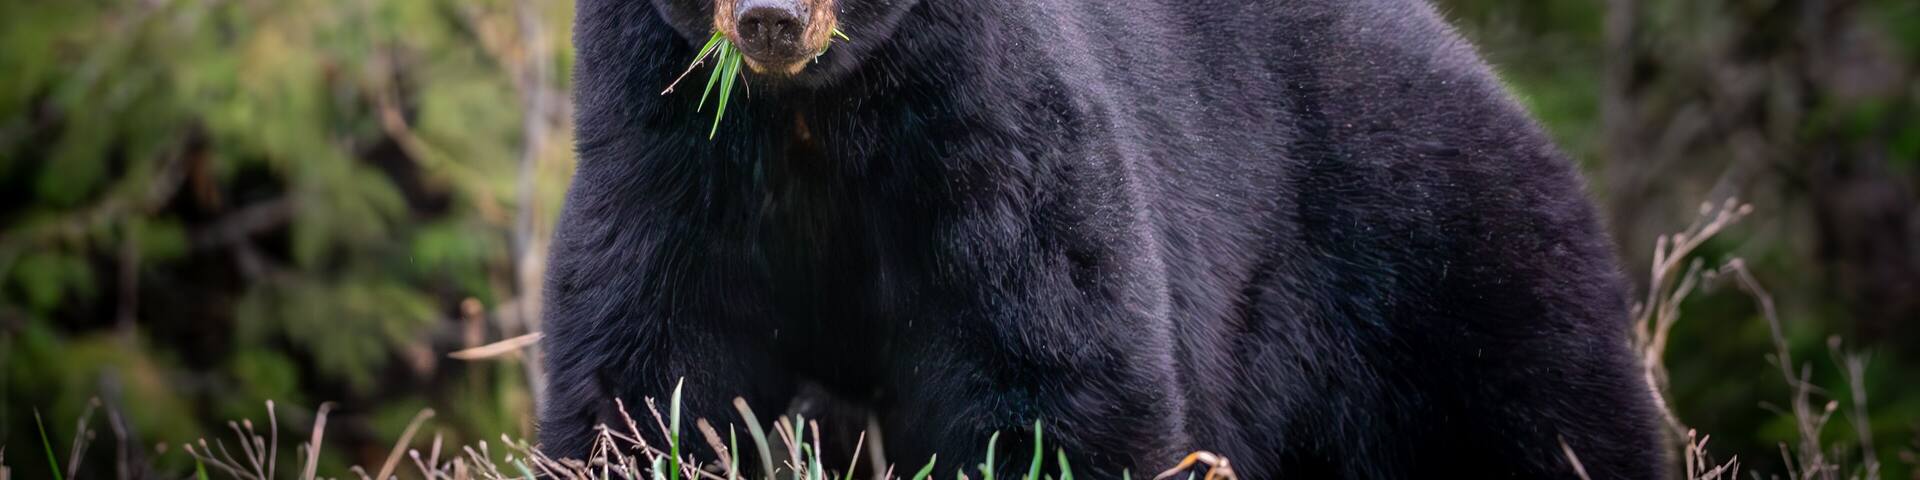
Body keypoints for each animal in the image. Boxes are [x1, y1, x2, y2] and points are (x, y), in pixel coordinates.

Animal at [538, 0, 1667, 477]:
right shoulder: (665, 135)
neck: (812, 112)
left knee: (1541, 413)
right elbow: (648, 351)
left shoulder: (988, 118)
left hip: (1443, 260)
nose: (771, 16)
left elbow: (1052, 345)